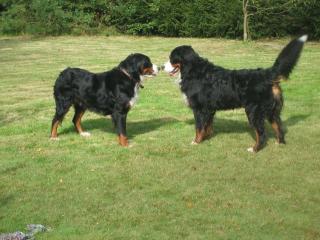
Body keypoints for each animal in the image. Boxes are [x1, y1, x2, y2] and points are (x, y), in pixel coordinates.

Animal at [165, 35, 308, 152]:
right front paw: (207, 138)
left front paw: (196, 142)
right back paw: (280, 143)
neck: (193, 71)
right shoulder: (209, 109)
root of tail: (266, 74)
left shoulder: (200, 109)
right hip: (271, 111)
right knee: (278, 127)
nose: (162, 66)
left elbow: (199, 127)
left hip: (254, 111)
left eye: (172, 58)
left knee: (261, 133)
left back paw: (254, 149)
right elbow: (207, 126)